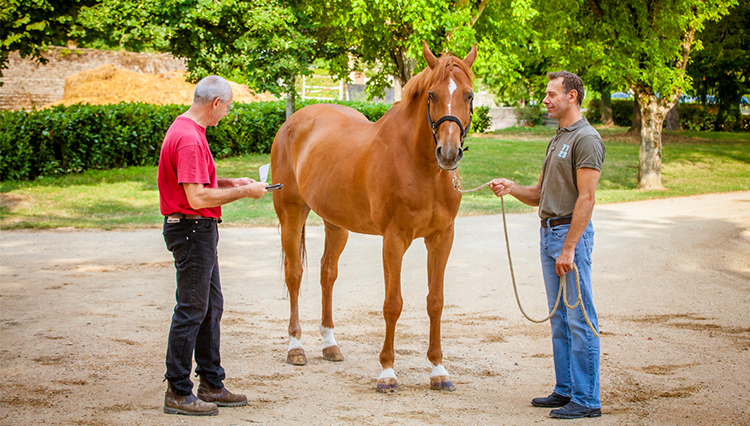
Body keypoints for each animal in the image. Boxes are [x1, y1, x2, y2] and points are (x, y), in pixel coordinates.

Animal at [274, 43, 478, 392]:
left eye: (469, 96)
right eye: (432, 95)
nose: (449, 153)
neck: (420, 166)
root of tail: (295, 121)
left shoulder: (441, 238)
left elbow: (435, 301)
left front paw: (438, 370)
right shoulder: (394, 239)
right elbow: (392, 304)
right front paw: (387, 373)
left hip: (336, 224)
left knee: (327, 273)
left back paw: (330, 344)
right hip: (291, 212)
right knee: (294, 275)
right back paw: (295, 347)